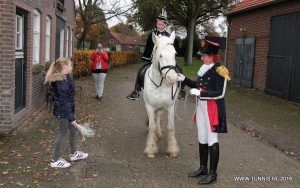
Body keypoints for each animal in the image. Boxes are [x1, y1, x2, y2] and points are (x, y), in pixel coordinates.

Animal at [144, 31, 180, 159]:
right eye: (160, 55)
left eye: (175, 54)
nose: (172, 78)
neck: (160, 84)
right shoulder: (149, 106)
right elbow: (152, 126)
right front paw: (150, 149)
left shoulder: (171, 107)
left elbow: (171, 127)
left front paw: (172, 149)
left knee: (159, 115)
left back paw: (159, 133)